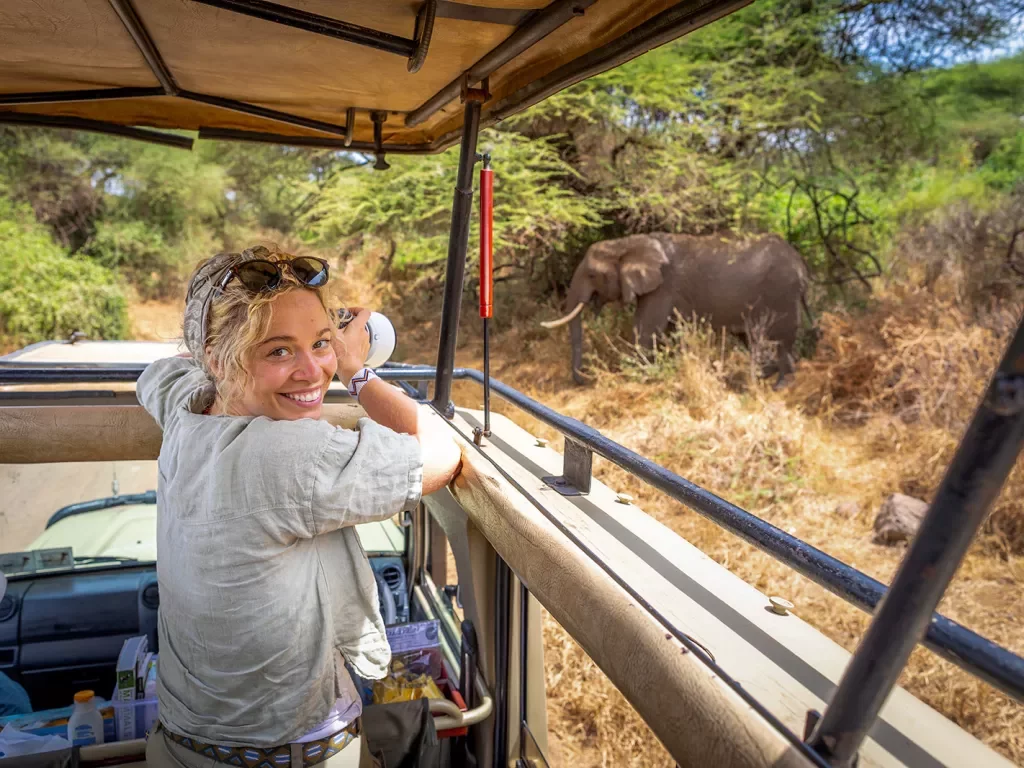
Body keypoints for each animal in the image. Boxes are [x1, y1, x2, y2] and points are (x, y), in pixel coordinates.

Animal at [540, 230, 811, 382]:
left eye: (593, 275)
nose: (584, 379)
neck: (626, 243)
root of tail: (801, 264)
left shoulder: (664, 286)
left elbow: (646, 329)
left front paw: (634, 376)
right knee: (755, 338)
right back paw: (764, 376)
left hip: (781, 293)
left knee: (778, 337)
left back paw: (779, 384)